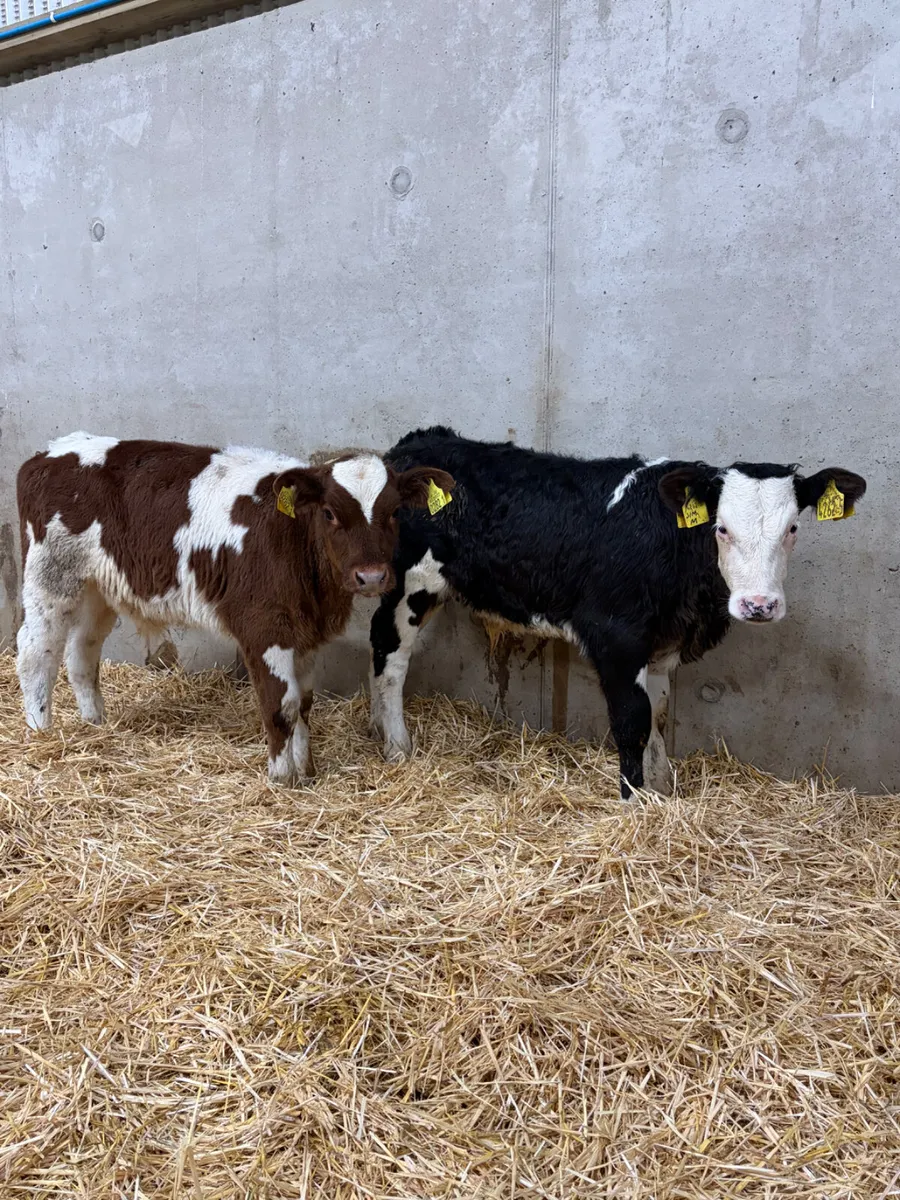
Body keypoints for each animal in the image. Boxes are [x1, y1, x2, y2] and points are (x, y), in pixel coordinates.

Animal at [16, 432, 454, 784]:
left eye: (395, 512)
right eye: (329, 513)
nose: (371, 576)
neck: (292, 538)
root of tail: (50, 451)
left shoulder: (304, 634)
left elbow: (303, 704)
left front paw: (306, 771)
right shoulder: (263, 629)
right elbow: (280, 706)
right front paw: (282, 779)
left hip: (99, 588)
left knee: (81, 652)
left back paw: (94, 724)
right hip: (49, 578)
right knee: (36, 653)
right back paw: (40, 731)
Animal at [369, 426, 866, 799]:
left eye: (793, 528)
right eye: (721, 528)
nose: (759, 605)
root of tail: (422, 440)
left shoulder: (661, 643)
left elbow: (659, 715)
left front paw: (662, 791)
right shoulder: (616, 637)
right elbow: (632, 721)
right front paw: (634, 804)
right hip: (409, 583)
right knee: (388, 653)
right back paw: (397, 747)